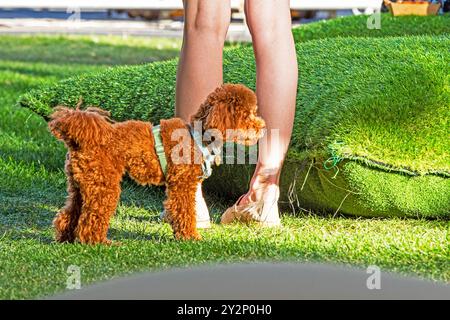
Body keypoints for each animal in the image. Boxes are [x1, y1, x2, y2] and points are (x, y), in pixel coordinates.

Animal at [48, 84, 268, 244]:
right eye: (247, 114)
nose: (263, 127)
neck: (199, 136)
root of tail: (82, 139)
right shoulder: (182, 185)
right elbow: (185, 212)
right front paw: (190, 237)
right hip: (104, 186)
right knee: (91, 219)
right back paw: (99, 243)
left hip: (82, 184)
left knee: (69, 213)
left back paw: (66, 238)